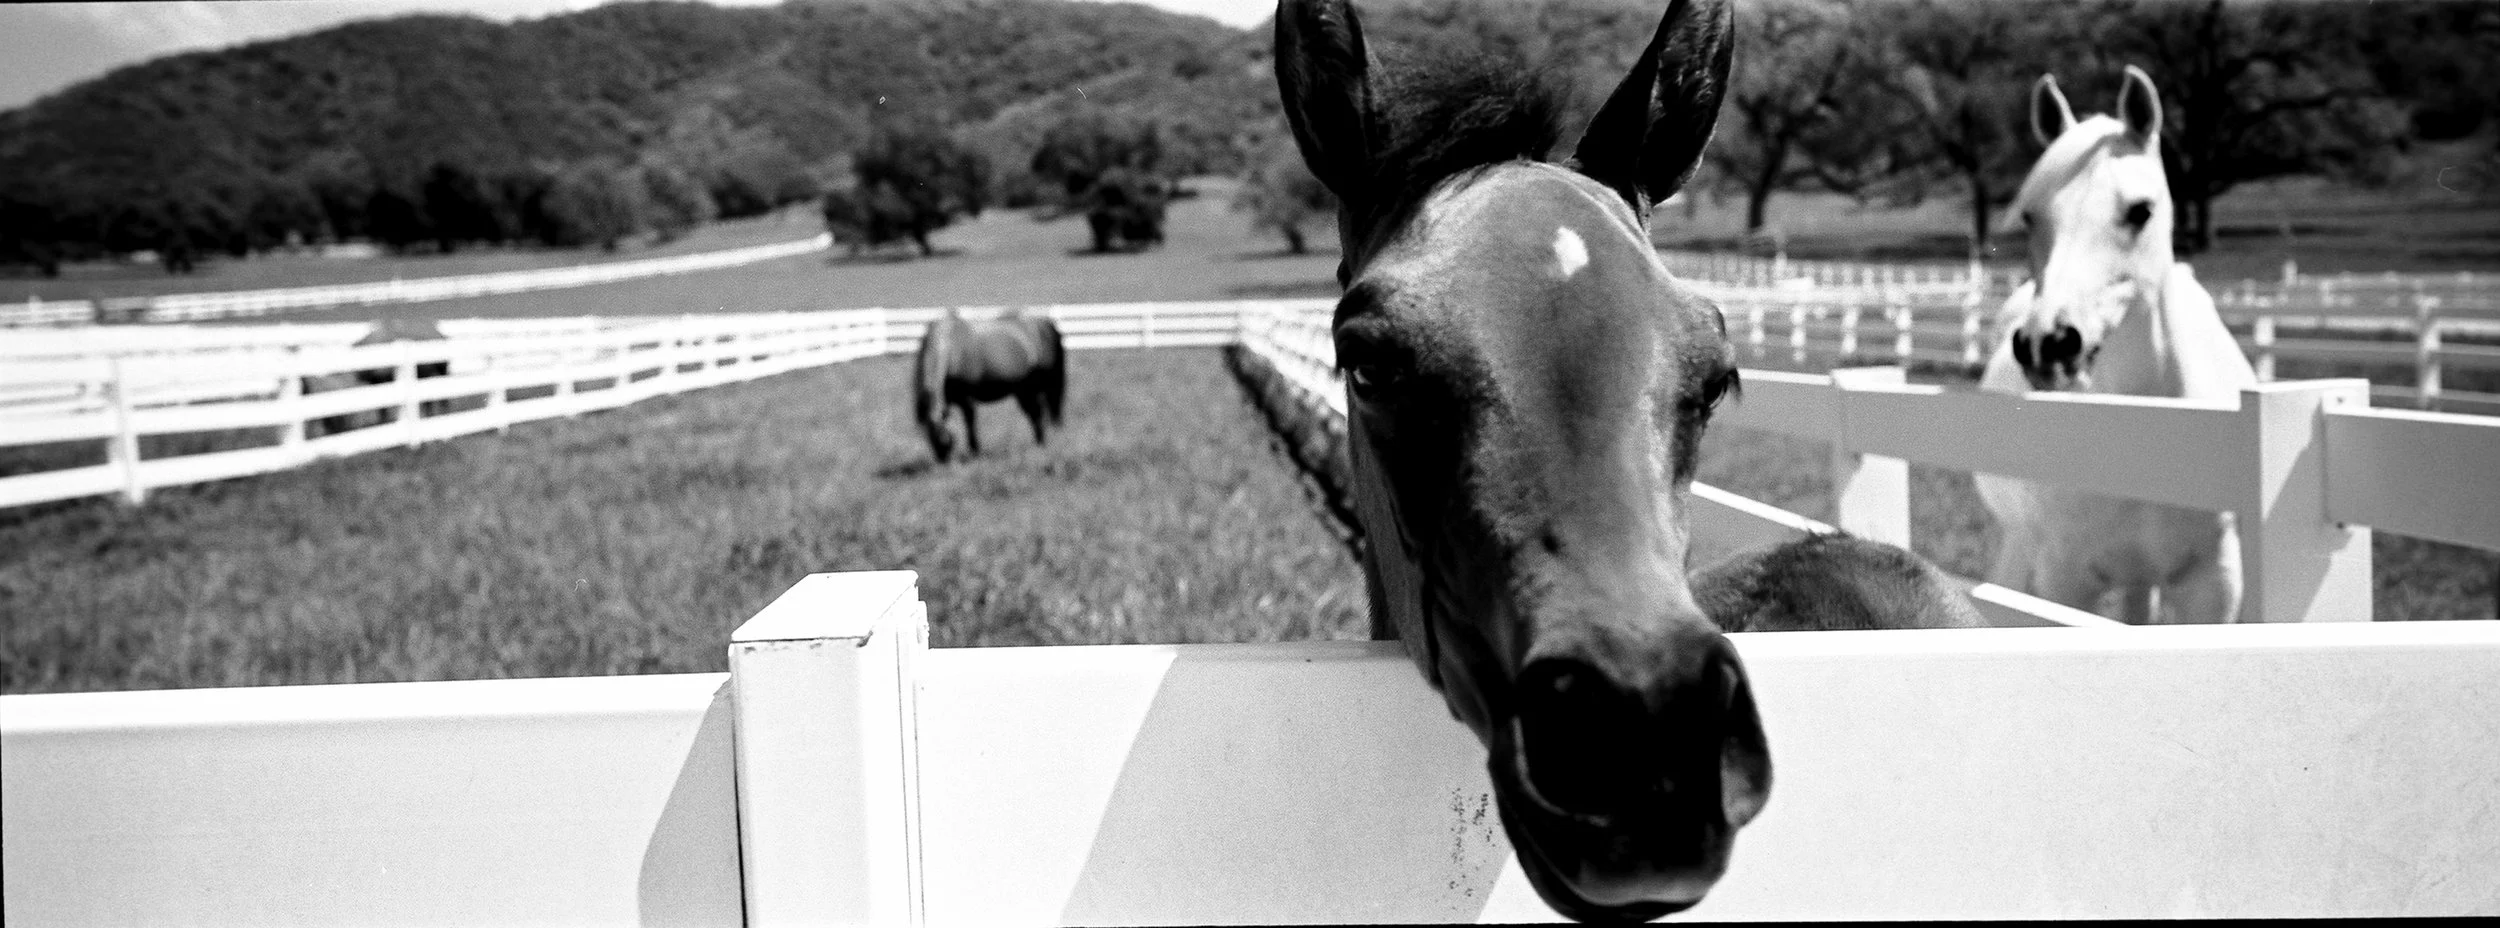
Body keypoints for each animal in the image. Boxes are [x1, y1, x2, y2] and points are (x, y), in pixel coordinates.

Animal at [913, 308, 1066, 463]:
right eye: (929, 438)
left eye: (947, 438)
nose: (944, 461)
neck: (951, 347)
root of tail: (1046, 323)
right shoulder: (948, 399)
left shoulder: (967, 399)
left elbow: (970, 421)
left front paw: (975, 450)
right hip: (1024, 391)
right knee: (1036, 413)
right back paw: (1039, 443)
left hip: (1042, 388)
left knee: (1043, 412)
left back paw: (1042, 443)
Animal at [1973, 67, 2257, 626]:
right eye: (2030, 216)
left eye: (2140, 211)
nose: (2048, 343)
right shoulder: (2064, 580)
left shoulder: (2212, 585)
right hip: (2021, 547)